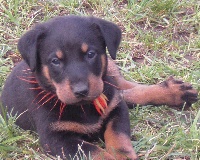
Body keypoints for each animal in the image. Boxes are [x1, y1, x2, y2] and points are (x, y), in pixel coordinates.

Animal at [1, 15, 198, 160]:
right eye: (55, 61)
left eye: (90, 54)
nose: (81, 91)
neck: (84, 106)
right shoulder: (57, 139)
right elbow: (96, 153)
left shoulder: (117, 110)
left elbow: (119, 140)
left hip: (109, 83)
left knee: (128, 89)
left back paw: (175, 92)